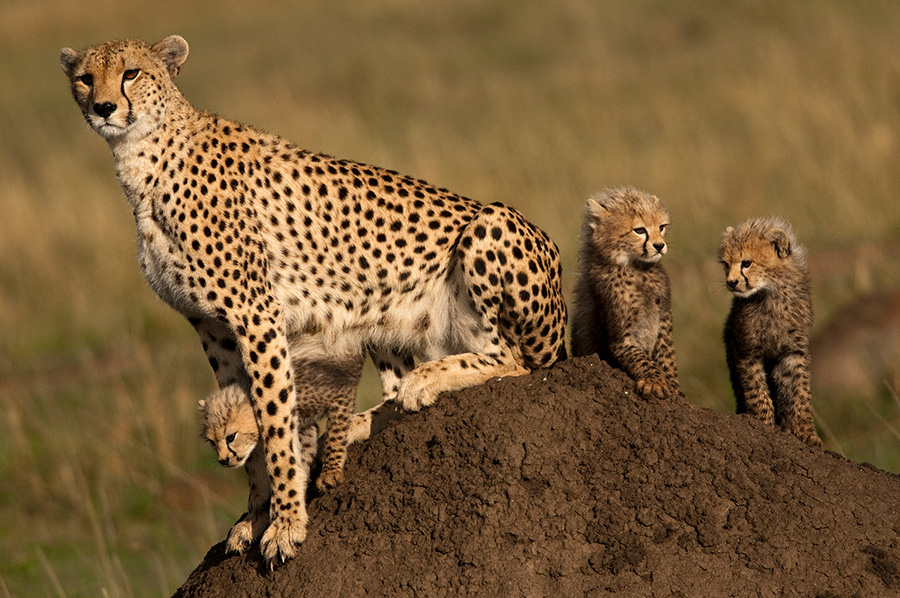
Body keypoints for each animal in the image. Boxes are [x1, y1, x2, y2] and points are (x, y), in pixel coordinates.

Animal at [59, 35, 568, 564]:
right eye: (85, 78)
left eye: (131, 73)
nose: (104, 107)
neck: (144, 159)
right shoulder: (212, 327)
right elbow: (247, 410)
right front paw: (254, 514)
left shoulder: (256, 315)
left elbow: (275, 420)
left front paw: (286, 523)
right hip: (376, 307)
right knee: (397, 387)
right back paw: (367, 419)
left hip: (491, 226)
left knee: (515, 359)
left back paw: (427, 381)